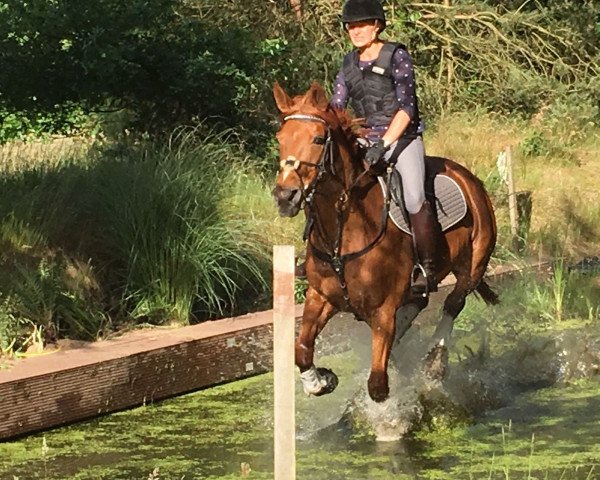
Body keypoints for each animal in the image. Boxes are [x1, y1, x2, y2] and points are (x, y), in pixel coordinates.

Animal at [272, 81, 496, 402]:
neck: (343, 233)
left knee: (454, 302)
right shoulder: (321, 296)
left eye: (317, 138)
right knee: (420, 302)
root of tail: (468, 178)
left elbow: (377, 385)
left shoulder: (383, 310)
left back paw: (434, 362)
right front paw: (320, 380)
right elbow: (301, 350)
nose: (285, 196)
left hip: (474, 264)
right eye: (280, 138)